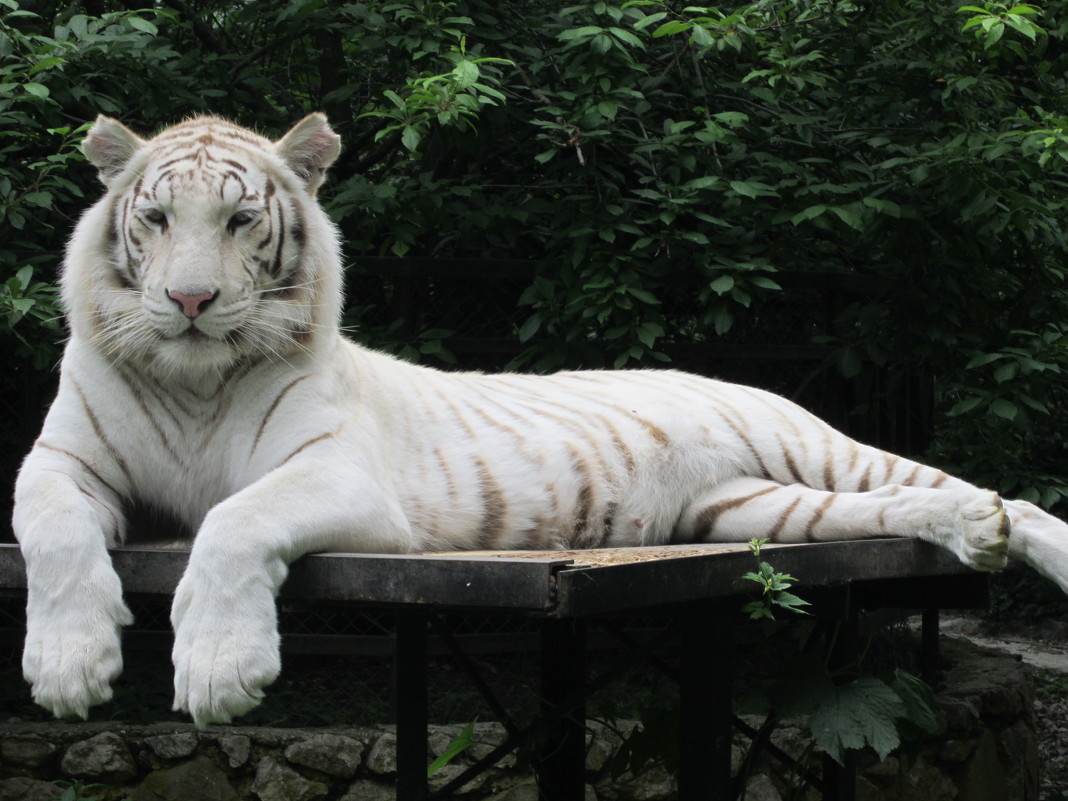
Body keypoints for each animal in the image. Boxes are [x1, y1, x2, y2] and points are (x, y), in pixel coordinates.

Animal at [12, 117, 1068, 726]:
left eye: (238, 221)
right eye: (155, 219)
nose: (189, 301)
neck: (195, 382)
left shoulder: (341, 473)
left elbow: (232, 521)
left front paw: (218, 673)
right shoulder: (63, 460)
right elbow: (51, 531)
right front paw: (69, 668)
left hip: (811, 443)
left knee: (987, 492)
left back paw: (1014, 532)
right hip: (753, 509)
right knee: (893, 510)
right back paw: (971, 532)